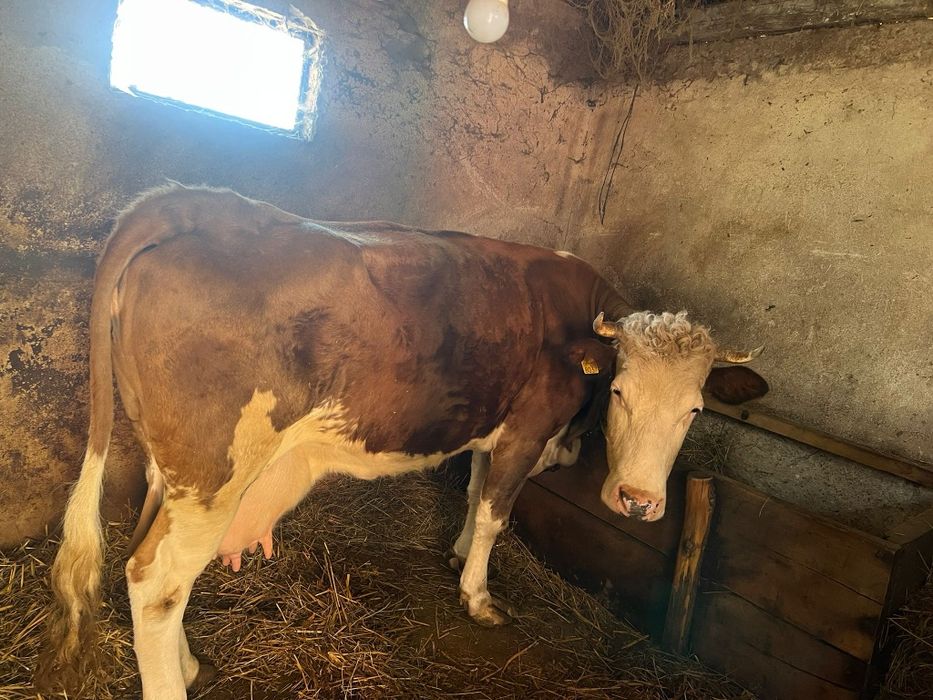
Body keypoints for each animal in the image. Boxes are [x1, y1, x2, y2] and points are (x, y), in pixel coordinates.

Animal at [40, 184, 767, 698]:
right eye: (619, 391)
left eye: (694, 409)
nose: (638, 501)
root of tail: (190, 201)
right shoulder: (528, 427)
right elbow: (498, 512)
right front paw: (478, 597)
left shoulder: (490, 429)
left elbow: (474, 494)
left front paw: (456, 553)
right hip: (215, 471)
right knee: (156, 580)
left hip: (176, 469)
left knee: (148, 553)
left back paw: (191, 665)